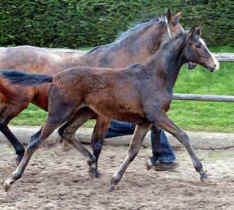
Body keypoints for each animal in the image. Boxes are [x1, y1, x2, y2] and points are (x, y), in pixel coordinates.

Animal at [0, 10, 185, 164]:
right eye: (181, 34)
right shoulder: (105, 115)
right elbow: (97, 143)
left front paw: (160, 159)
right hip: (19, 101)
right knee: (3, 122)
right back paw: (20, 152)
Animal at [1, 25, 218, 190]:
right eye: (198, 45)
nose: (215, 65)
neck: (155, 76)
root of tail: (54, 78)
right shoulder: (157, 115)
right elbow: (183, 135)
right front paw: (202, 172)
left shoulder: (145, 122)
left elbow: (133, 150)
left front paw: (114, 180)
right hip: (57, 113)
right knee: (35, 140)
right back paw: (12, 178)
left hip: (82, 112)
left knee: (67, 132)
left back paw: (90, 161)